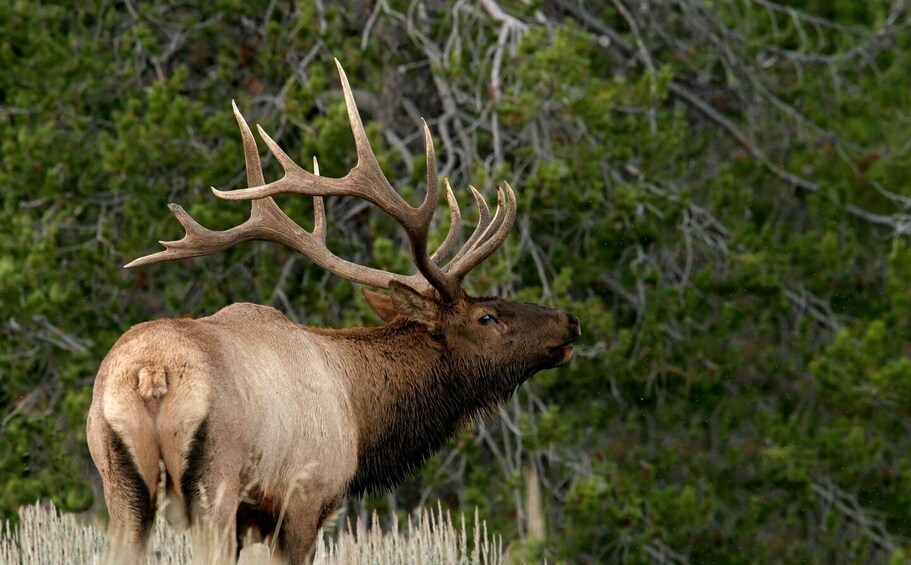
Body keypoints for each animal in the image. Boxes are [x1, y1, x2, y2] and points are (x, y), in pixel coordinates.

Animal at [86, 60, 580, 564]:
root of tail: (152, 372)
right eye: (487, 318)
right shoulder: (305, 498)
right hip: (215, 484)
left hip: (120, 484)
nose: (569, 321)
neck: (361, 416)